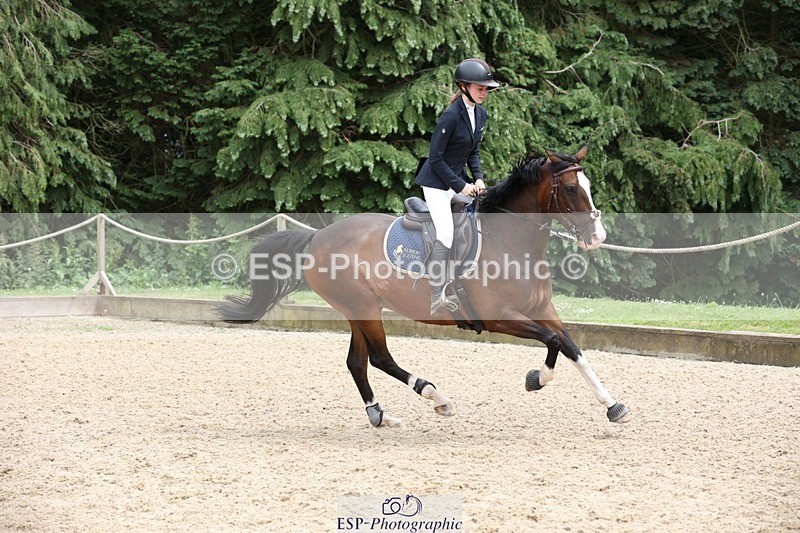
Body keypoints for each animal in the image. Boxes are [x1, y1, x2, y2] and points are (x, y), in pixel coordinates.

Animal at [218, 145, 631, 427]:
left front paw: (612, 404)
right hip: (362, 307)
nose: (598, 236)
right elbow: (554, 342)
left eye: (588, 185)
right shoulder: (501, 318)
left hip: (362, 309)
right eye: (572, 189)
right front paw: (536, 380)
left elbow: (571, 347)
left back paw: (380, 414)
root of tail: (318, 236)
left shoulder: (542, 310)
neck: (512, 240)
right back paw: (435, 396)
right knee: (379, 358)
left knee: (357, 362)